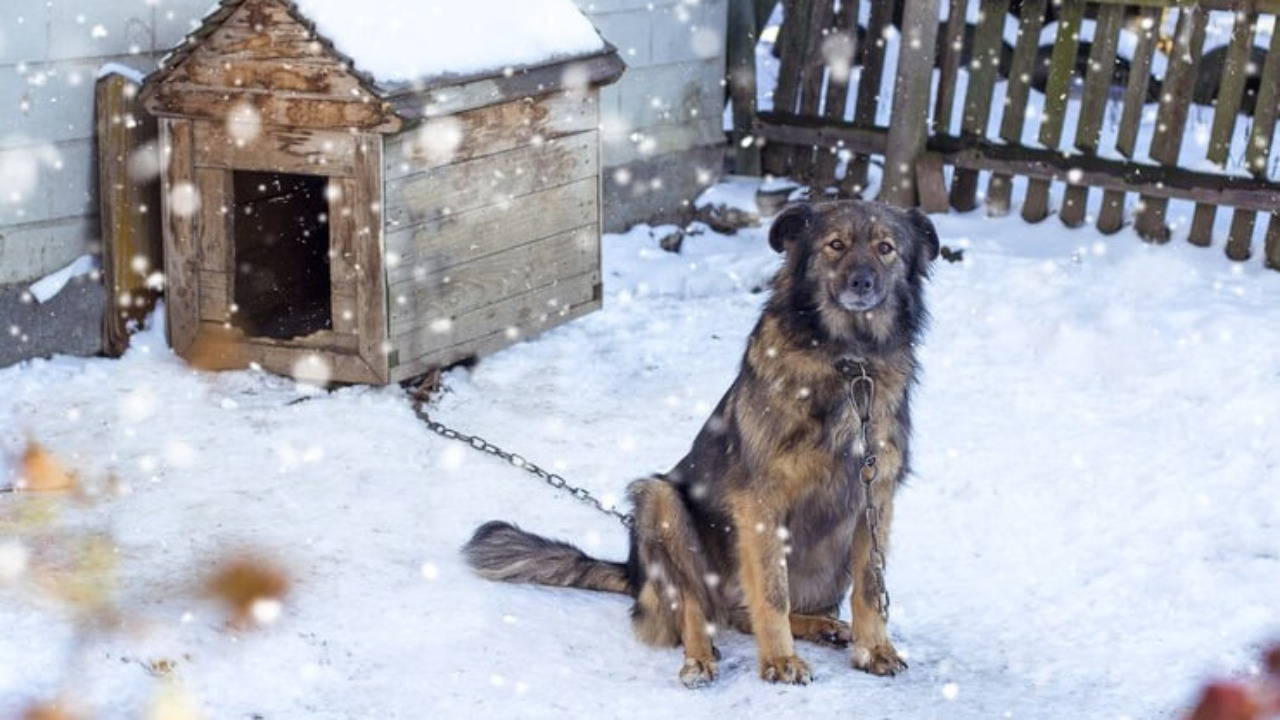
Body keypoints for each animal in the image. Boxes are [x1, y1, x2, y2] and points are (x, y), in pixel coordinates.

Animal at [463, 198, 942, 686]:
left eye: (886, 248)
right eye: (836, 245)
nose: (862, 282)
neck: (848, 360)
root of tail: (635, 574)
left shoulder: (875, 496)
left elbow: (871, 587)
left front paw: (874, 649)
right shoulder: (761, 502)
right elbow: (772, 593)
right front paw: (780, 660)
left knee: (743, 612)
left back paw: (823, 626)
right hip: (659, 500)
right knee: (695, 605)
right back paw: (700, 658)